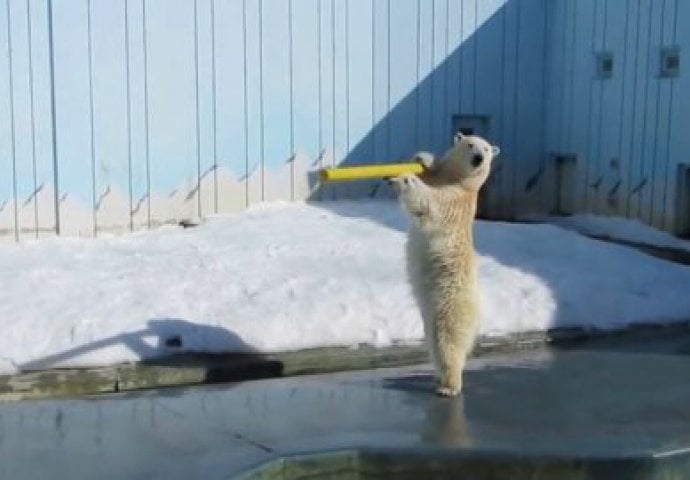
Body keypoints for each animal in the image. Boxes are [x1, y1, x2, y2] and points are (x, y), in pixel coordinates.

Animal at [390, 132, 498, 398]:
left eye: (487, 150)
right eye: (470, 144)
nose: (478, 158)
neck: (461, 181)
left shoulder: (457, 200)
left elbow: (430, 204)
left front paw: (405, 180)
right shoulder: (442, 179)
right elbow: (430, 174)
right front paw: (423, 158)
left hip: (452, 303)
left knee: (448, 341)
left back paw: (449, 386)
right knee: (432, 340)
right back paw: (437, 377)